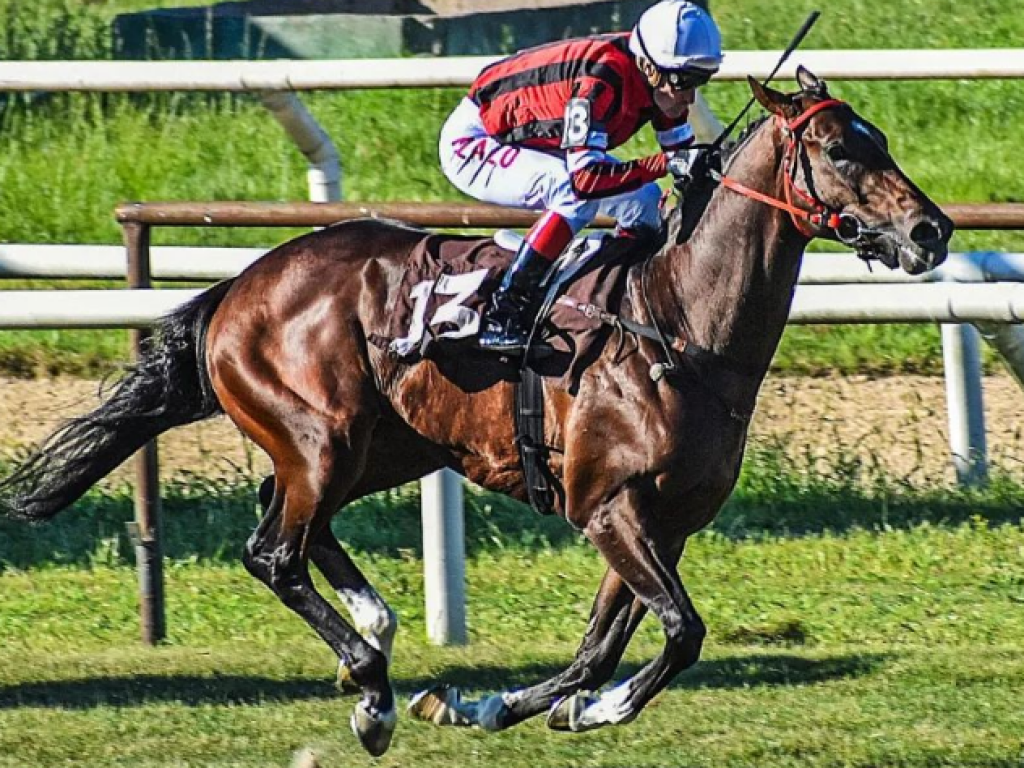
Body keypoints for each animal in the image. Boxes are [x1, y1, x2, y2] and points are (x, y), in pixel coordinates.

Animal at [0, 69, 950, 753]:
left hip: (384, 446)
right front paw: (586, 709)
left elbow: (600, 647)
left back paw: (377, 642)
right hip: (322, 434)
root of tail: (239, 285)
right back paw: (371, 687)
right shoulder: (606, 507)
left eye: (880, 138)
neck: (678, 322)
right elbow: (679, 632)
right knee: (273, 551)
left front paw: (501, 705)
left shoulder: (663, 522)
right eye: (839, 149)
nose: (931, 231)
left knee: (292, 525)